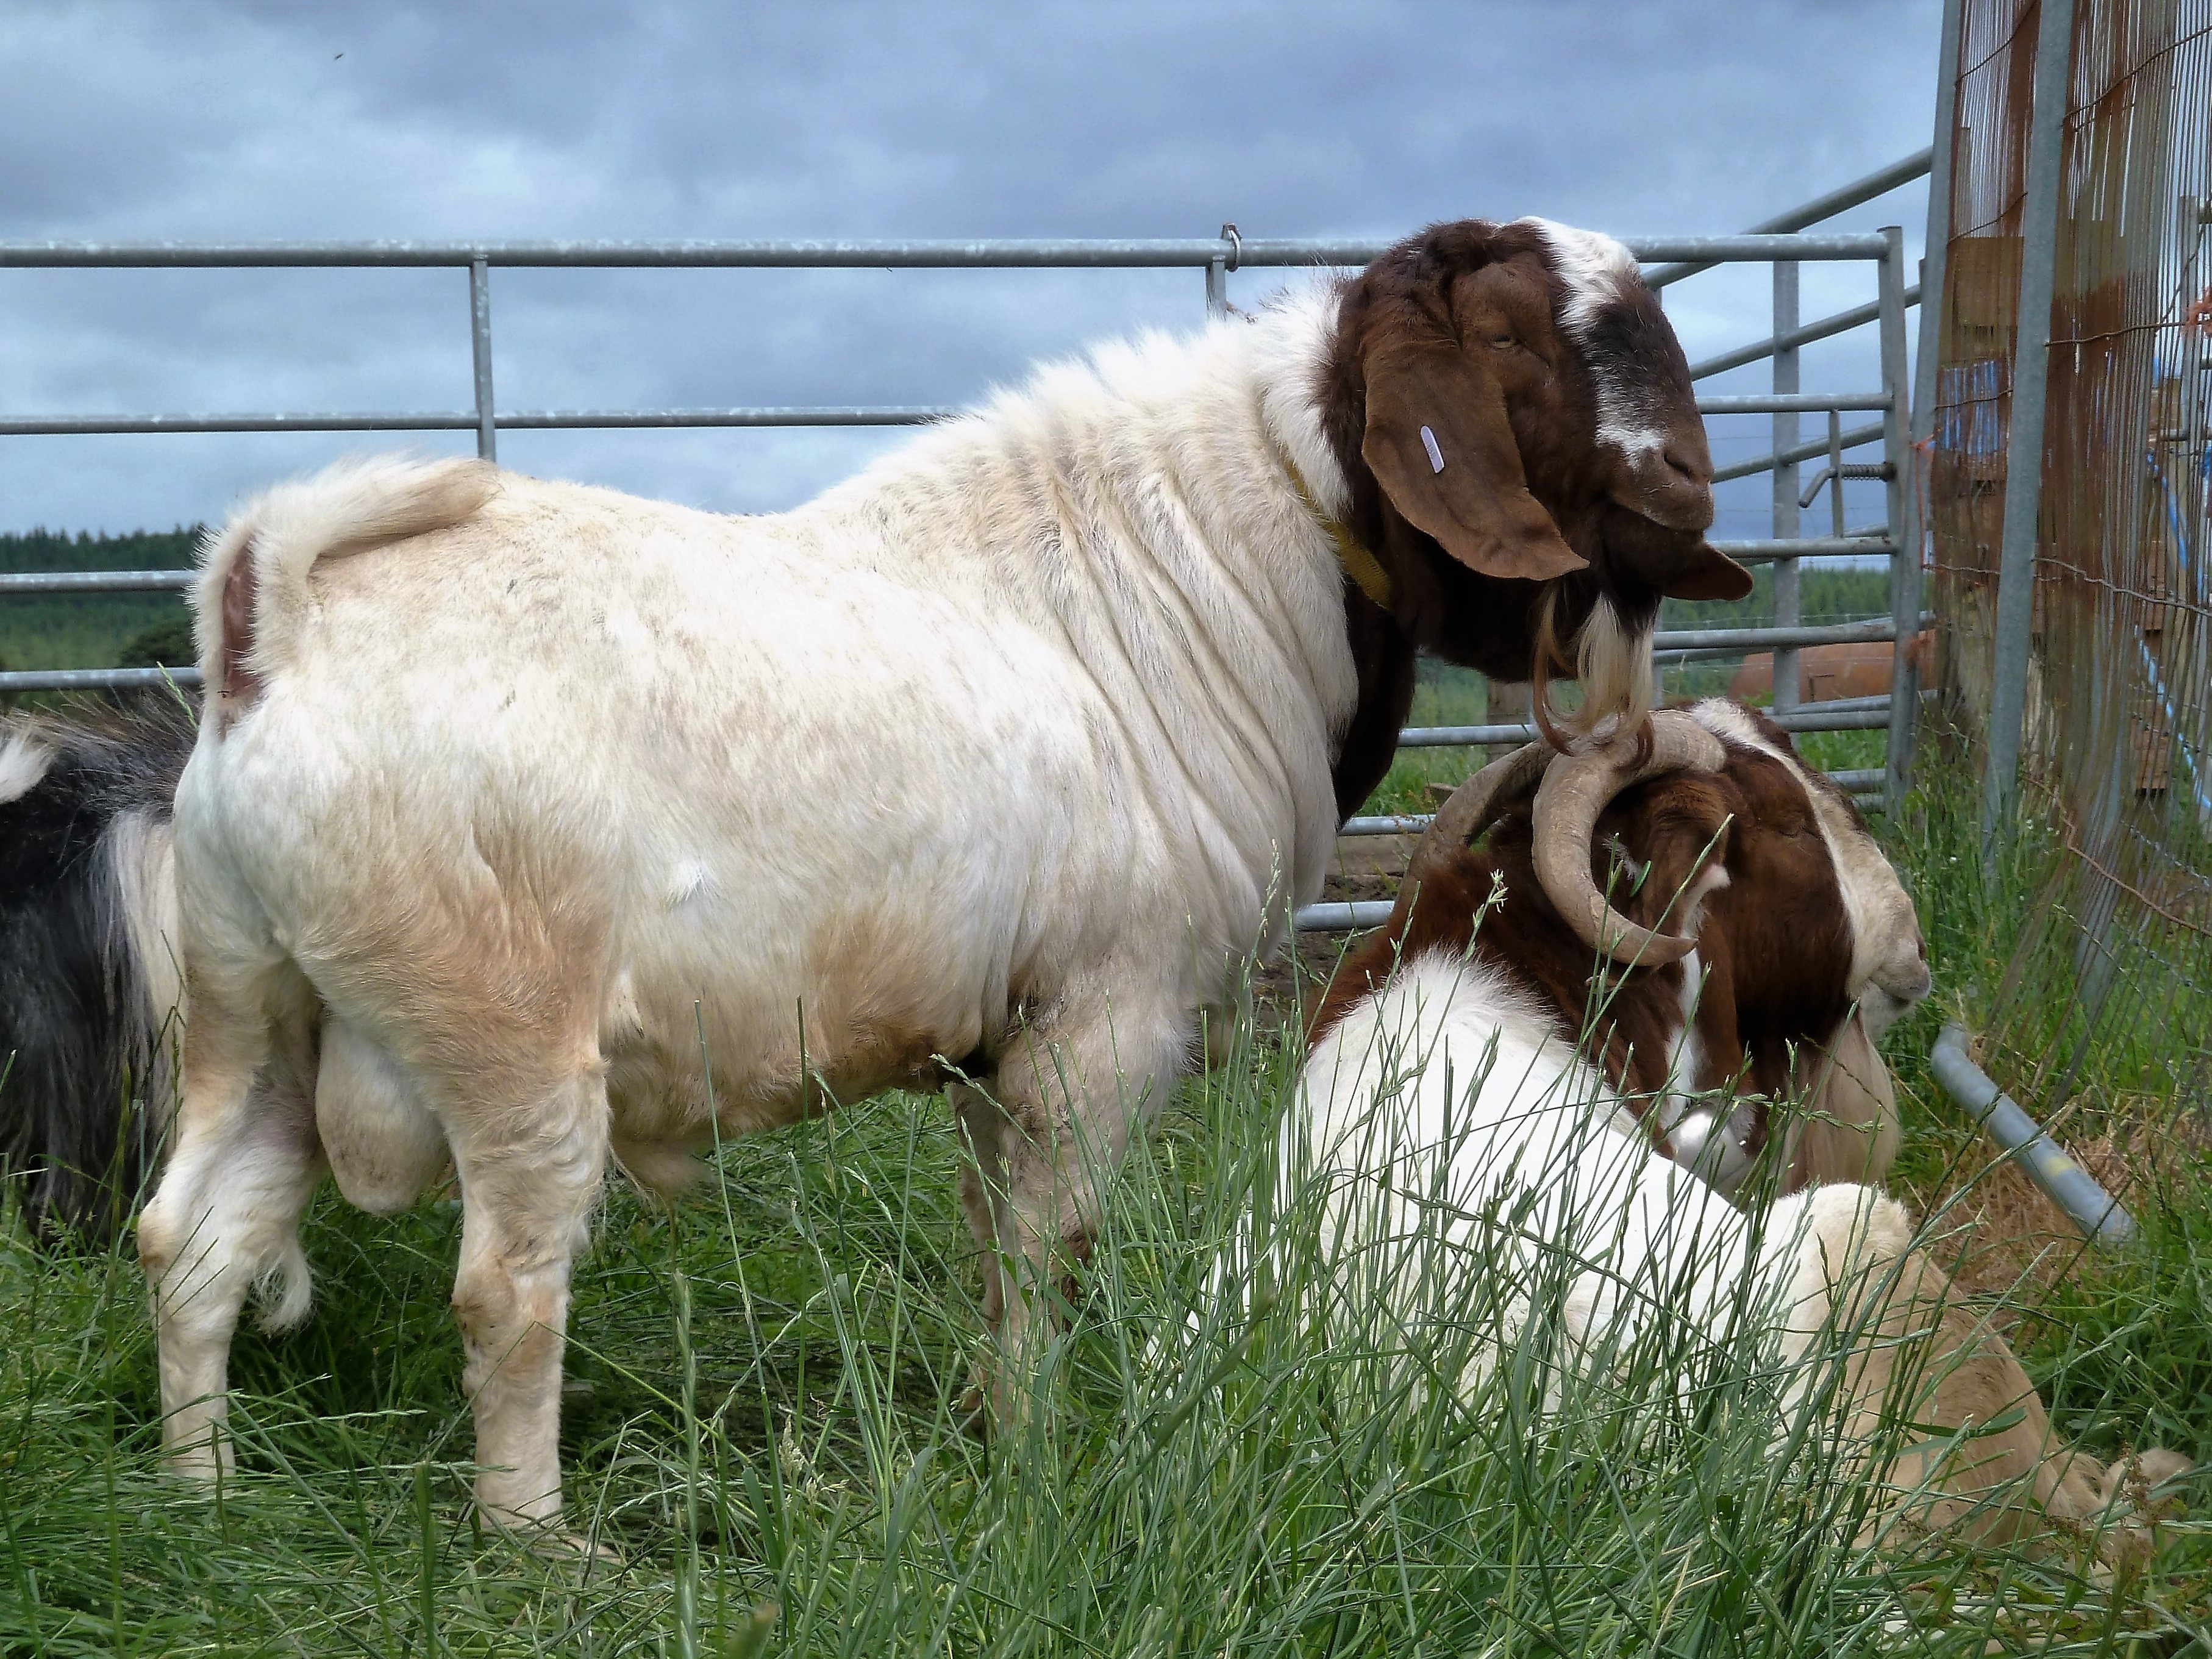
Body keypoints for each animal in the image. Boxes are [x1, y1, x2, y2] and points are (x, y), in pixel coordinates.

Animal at [130, 216, 1749, 1537]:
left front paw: (986, 1428)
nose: (1688, 485)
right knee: (504, 1289)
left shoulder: (997, 1038)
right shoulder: (1108, 1013)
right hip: (507, 1037)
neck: (1208, 566)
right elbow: (1049, 1253)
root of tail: (270, 626)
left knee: (192, 1235)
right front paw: (1036, 1451)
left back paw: (204, 1495)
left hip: (255, 1009)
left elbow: (989, 1246)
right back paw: (539, 1544)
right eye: (1516, 335)